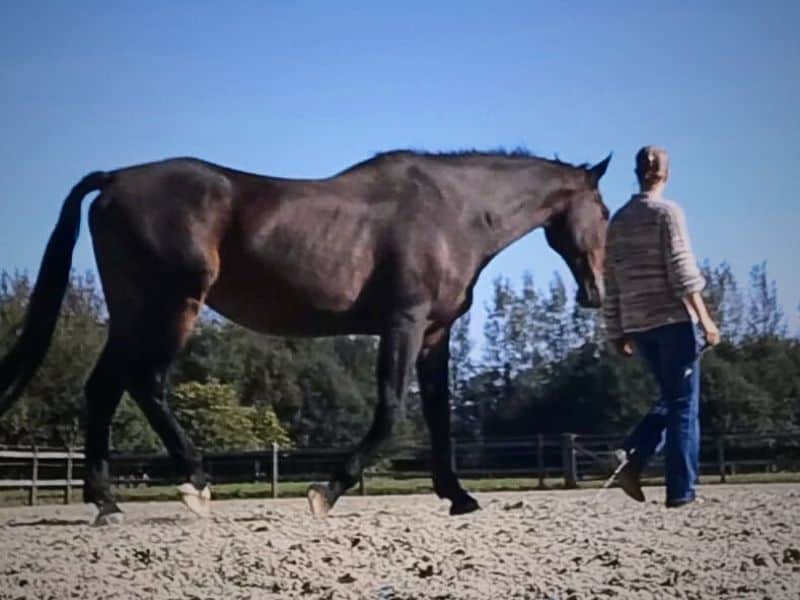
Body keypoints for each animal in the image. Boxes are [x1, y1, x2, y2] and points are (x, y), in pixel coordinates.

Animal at [0, 148, 610, 523]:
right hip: (174, 306)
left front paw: (458, 495)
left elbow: (439, 415)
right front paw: (327, 490)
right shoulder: (405, 323)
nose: (596, 293)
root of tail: (114, 179)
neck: (453, 212)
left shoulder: (437, 332)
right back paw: (194, 483)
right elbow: (391, 409)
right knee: (145, 383)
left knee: (103, 389)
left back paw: (105, 502)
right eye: (605, 210)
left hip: (132, 310)